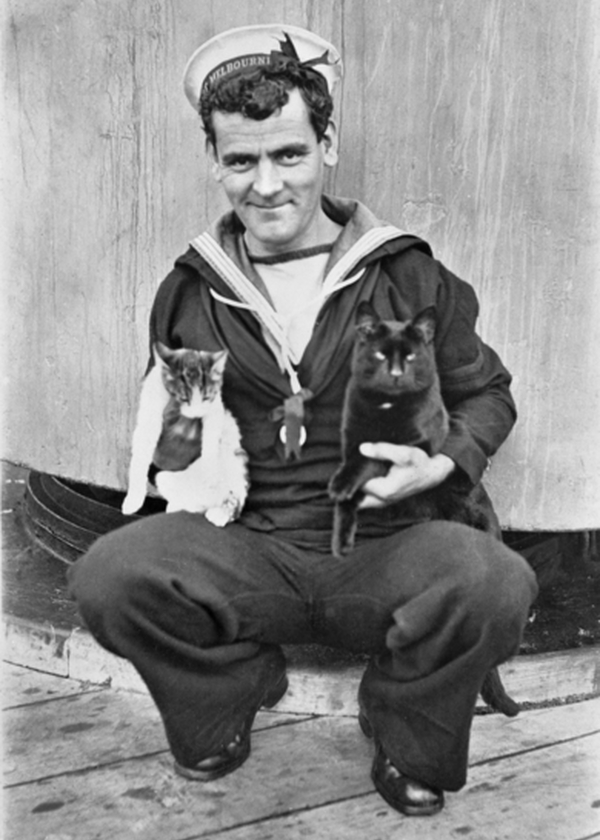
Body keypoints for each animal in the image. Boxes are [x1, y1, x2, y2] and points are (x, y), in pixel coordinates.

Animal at [122, 342, 248, 524]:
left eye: (206, 397)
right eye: (183, 398)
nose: (195, 414)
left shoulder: (216, 409)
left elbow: (211, 441)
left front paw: (210, 472)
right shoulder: (149, 412)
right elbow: (140, 457)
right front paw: (133, 499)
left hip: (234, 463)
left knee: (235, 496)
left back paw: (220, 513)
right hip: (164, 478)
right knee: (195, 504)